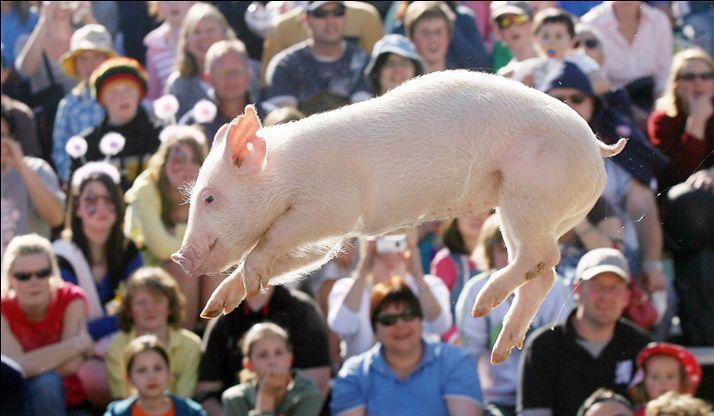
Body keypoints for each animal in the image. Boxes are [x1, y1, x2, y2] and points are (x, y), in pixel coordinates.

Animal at [170, 69, 620, 364]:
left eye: (209, 198)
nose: (180, 257)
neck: (285, 177)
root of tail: (598, 148)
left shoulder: (332, 204)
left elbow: (275, 239)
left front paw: (251, 277)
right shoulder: (329, 237)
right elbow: (300, 256)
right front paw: (216, 306)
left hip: (529, 193)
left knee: (542, 258)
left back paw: (480, 304)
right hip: (521, 209)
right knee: (543, 270)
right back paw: (498, 348)